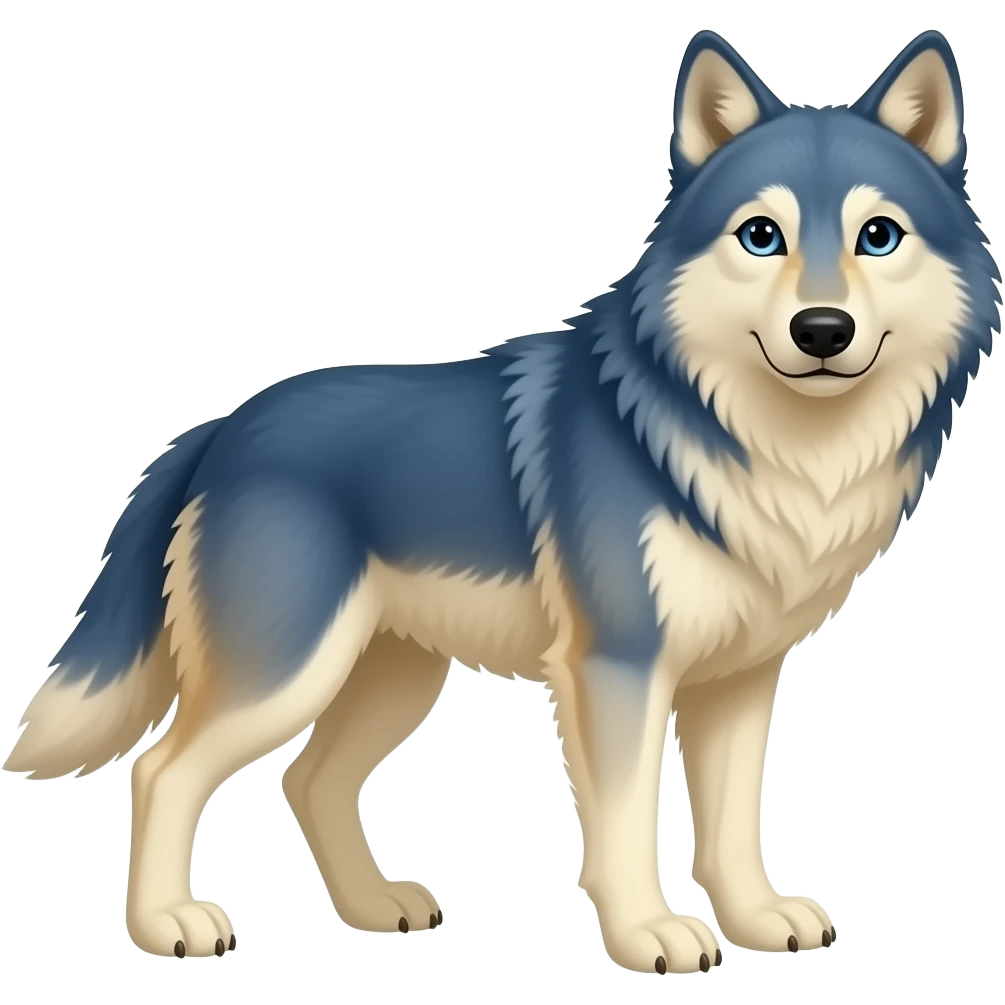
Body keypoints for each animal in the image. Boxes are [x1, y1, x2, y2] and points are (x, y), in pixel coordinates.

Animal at [5, 29, 999, 971]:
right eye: (761, 236)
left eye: (878, 236)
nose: (821, 330)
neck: (766, 446)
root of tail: (220, 428)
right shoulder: (618, 668)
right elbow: (628, 824)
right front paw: (649, 934)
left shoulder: (739, 679)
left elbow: (731, 824)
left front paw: (754, 918)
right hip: (286, 670)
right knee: (162, 771)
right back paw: (167, 923)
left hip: (391, 677)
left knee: (309, 780)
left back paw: (373, 908)